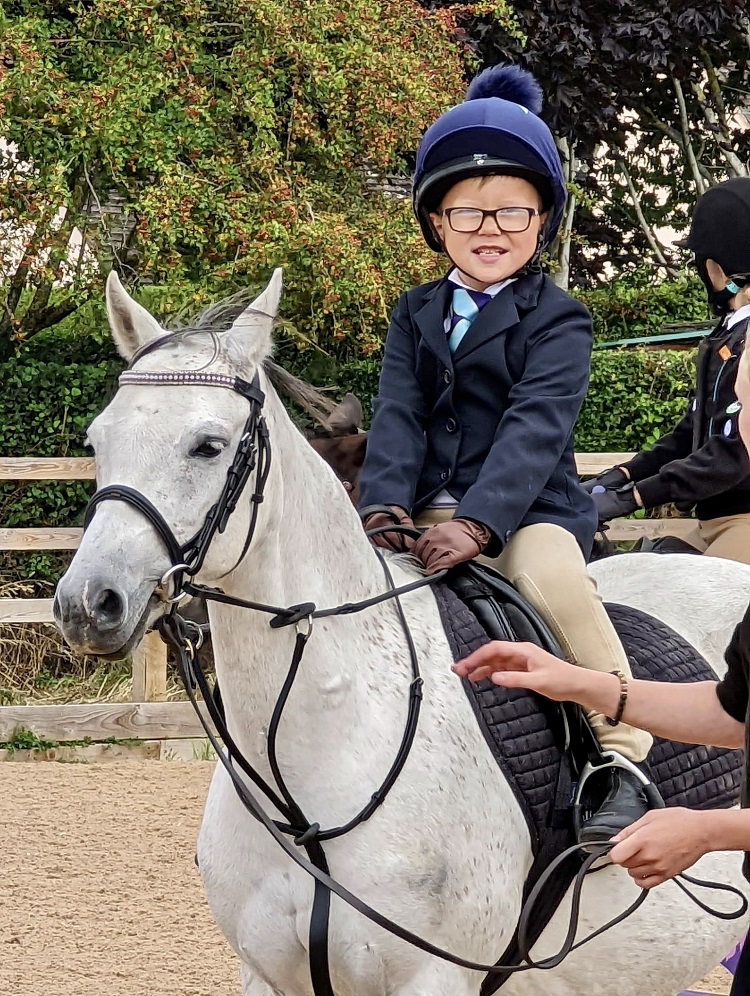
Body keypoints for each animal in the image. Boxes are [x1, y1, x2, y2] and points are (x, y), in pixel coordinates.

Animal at [57, 268, 750, 992]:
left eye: (208, 446)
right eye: (97, 441)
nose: (88, 603)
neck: (306, 787)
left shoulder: (434, 976)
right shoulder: (267, 975)